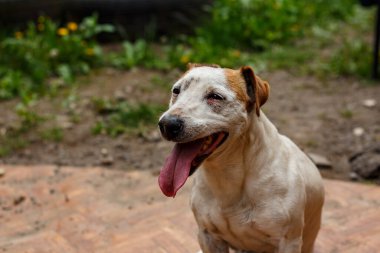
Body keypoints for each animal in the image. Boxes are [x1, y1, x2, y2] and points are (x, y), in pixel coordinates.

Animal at [157, 63, 324, 253]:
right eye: (176, 91)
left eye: (215, 96)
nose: (167, 124)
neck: (227, 175)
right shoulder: (208, 236)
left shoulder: (288, 241)